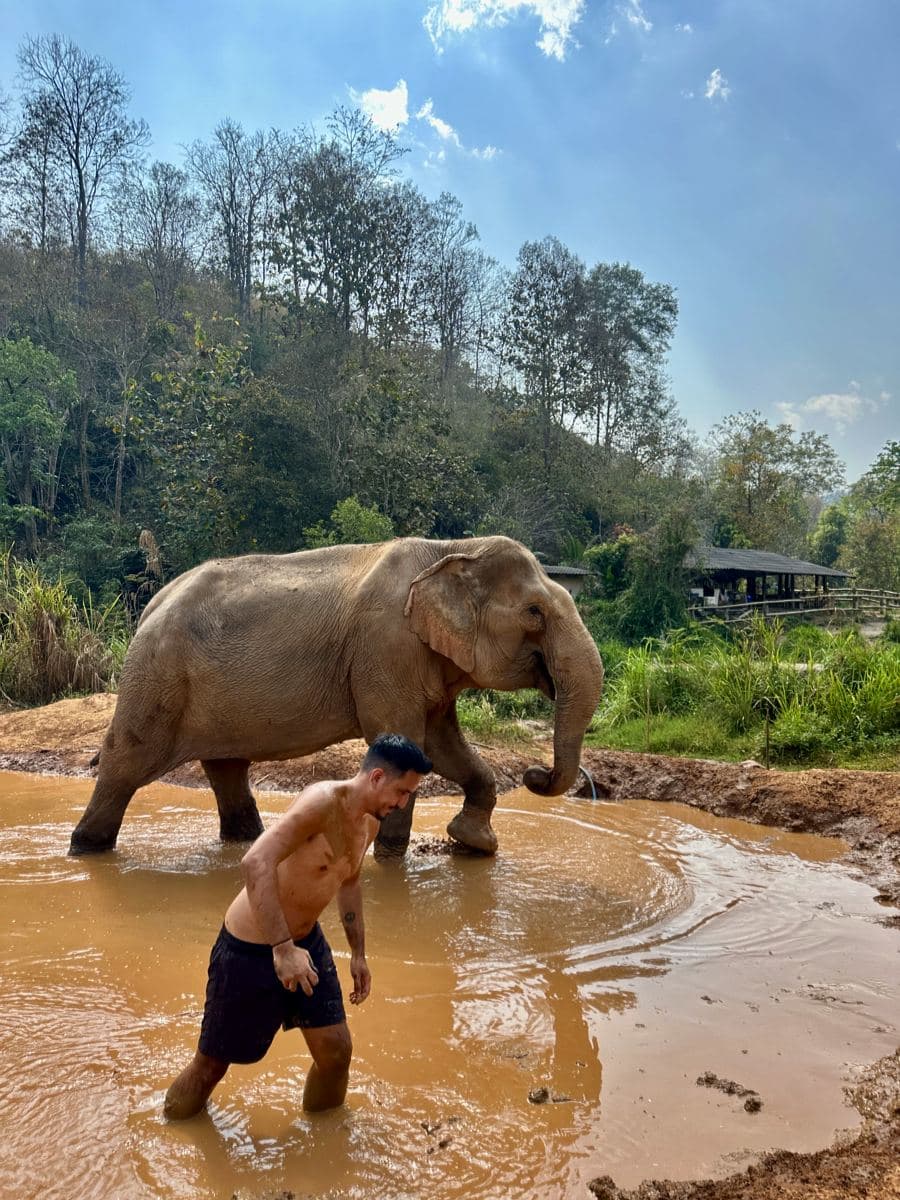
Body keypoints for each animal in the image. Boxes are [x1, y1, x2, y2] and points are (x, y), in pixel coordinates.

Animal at [69, 535, 604, 857]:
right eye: (534, 612)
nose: (536, 774)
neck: (452, 549)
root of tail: (153, 603)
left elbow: (442, 745)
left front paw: (473, 844)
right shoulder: (386, 647)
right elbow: (405, 741)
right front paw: (390, 860)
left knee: (226, 770)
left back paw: (247, 845)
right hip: (156, 675)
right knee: (126, 762)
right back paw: (85, 849)